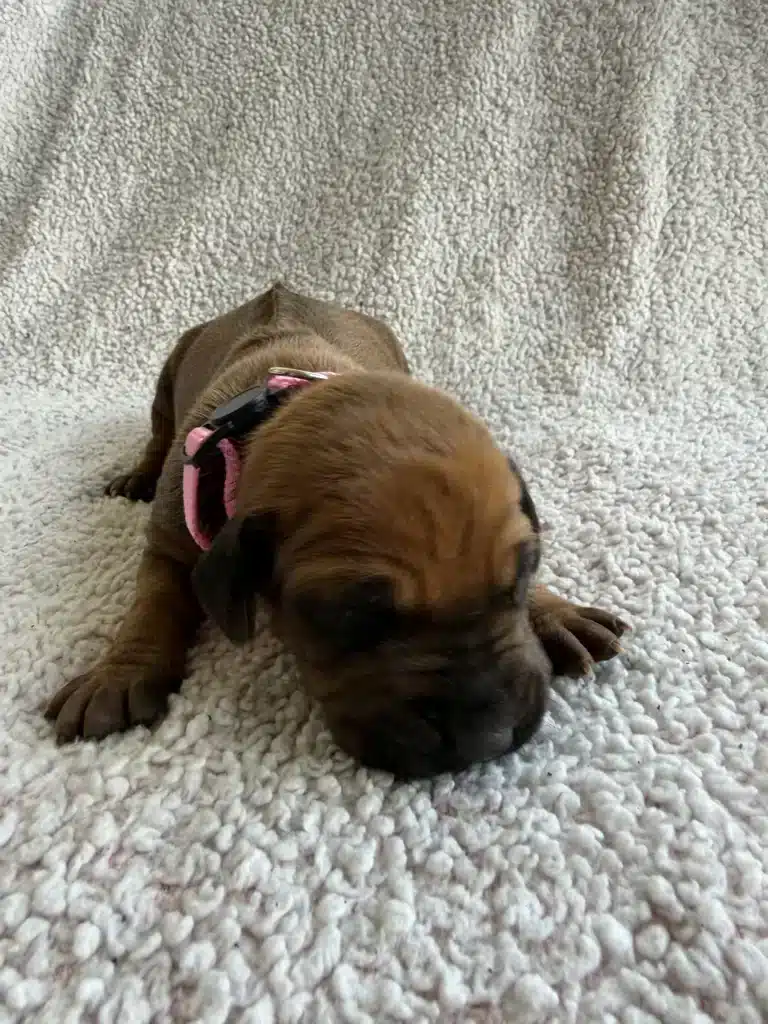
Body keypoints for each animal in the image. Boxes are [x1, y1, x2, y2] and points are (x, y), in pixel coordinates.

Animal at [46, 283, 627, 777]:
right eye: (352, 616)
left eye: (521, 579)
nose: (489, 739)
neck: (281, 406)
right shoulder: (169, 541)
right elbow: (154, 601)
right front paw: (118, 674)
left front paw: (556, 612)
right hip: (168, 375)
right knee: (156, 431)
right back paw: (136, 474)